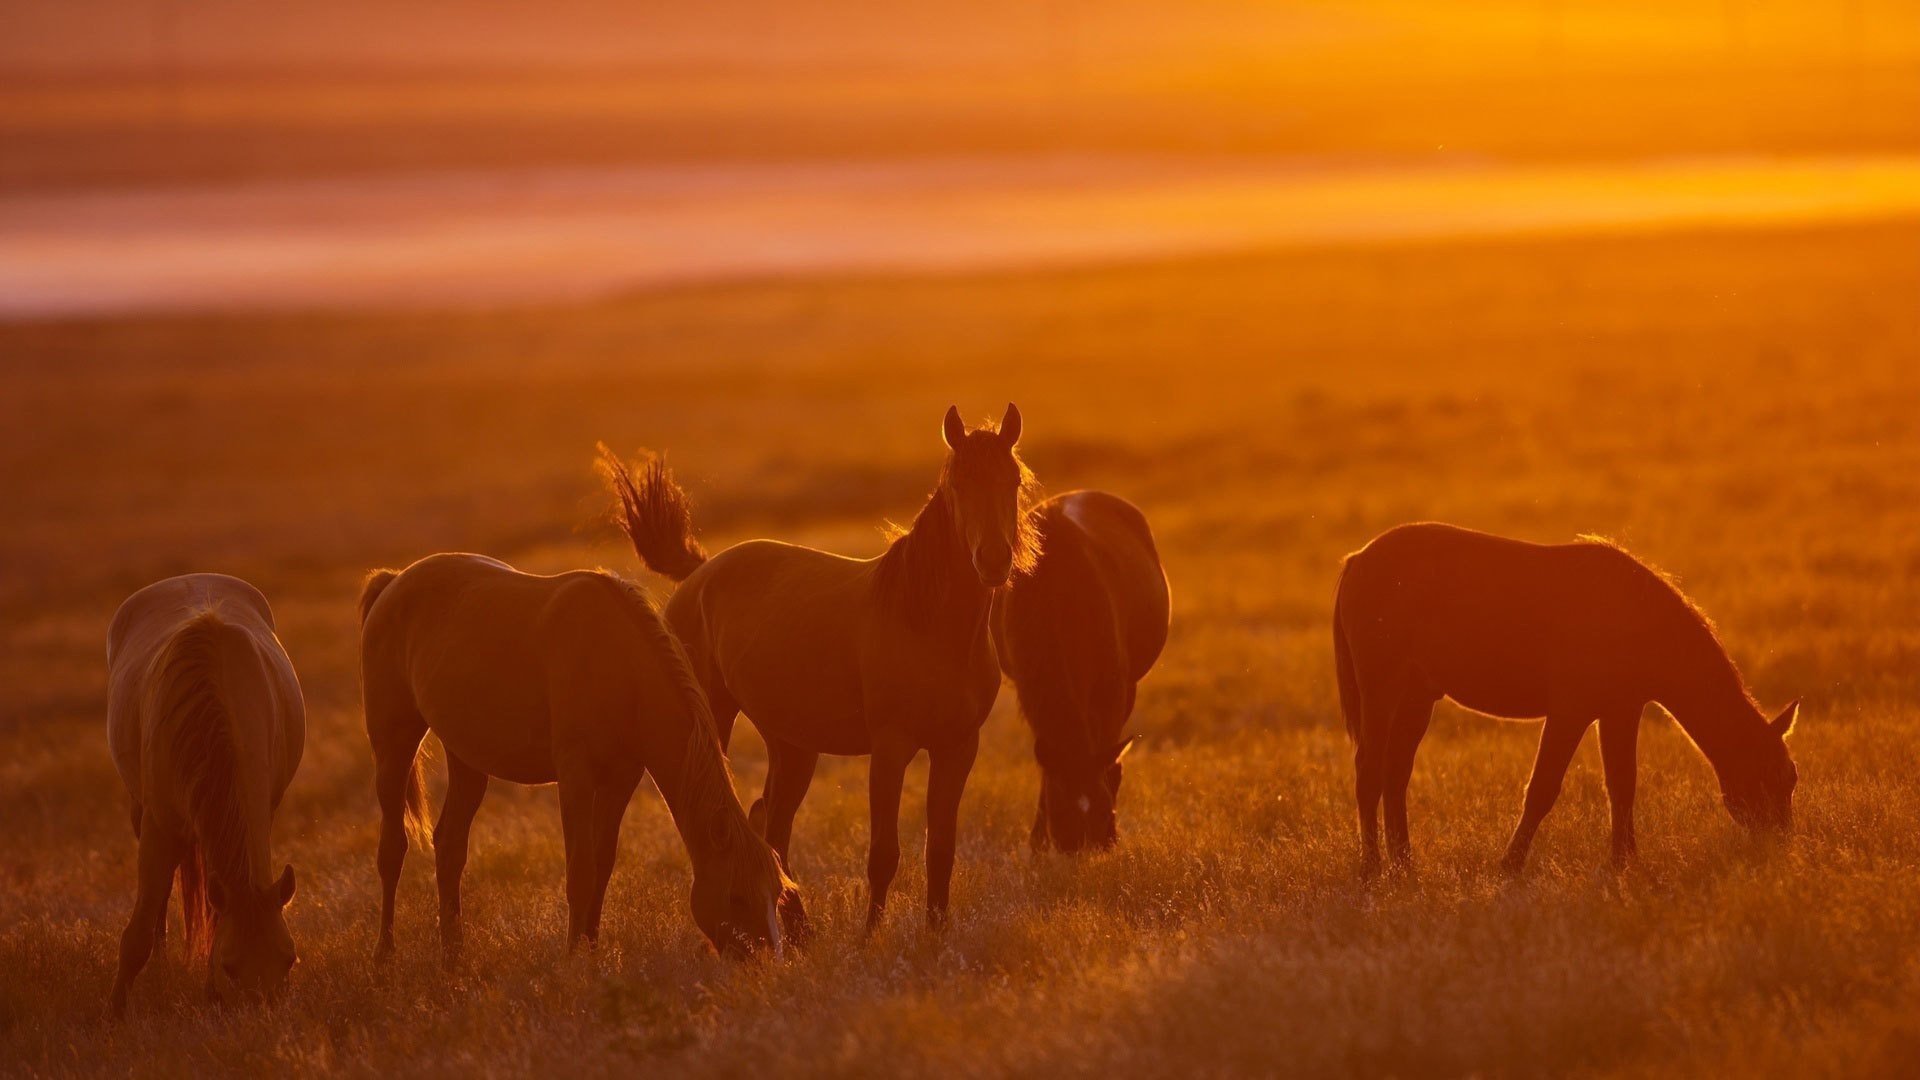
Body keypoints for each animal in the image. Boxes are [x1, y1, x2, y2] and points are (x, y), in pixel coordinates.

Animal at [105, 574, 304, 1017]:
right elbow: (138, 931)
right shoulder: (159, 825)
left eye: (288, 958)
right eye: (231, 966)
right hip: (140, 813)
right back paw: (160, 965)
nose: (262, 1014)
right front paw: (116, 1014)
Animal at [357, 553, 803, 964]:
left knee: (450, 846)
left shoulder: (621, 778)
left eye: (776, 893)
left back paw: (453, 954)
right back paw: (384, 953)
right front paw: (574, 957)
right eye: (737, 895)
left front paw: (591, 947)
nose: (767, 961)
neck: (620, 667)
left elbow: (602, 865)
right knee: (393, 849)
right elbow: (580, 870)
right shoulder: (576, 776)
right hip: (393, 746)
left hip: (467, 758)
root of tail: (393, 582)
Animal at [600, 403, 1038, 930]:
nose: (993, 560)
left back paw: (799, 928)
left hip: (792, 745)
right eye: (958, 482)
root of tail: (699, 573)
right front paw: (869, 938)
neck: (929, 626)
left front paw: (936, 934)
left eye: (1013, 480)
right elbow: (884, 853)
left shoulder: (958, 747)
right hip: (718, 721)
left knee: (771, 821)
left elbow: (941, 851)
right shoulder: (890, 747)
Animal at [992, 490, 1170, 853]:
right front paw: (1037, 841)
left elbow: (1109, 752)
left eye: (1104, 809)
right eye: (1059, 810)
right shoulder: (1028, 688)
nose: (1082, 845)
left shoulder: (1114, 686)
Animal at [1333, 522, 1800, 877]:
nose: (1782, 846)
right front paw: (1510, 866)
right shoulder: (1570, 711)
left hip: (1417, 697)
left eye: (1790, 778)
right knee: (1369, 771)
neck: (1638, 619)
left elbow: (1623, 785)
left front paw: (1624, 864)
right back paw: (1372, 869)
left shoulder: (1620, 711)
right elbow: (1543, 788)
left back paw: (1405, 867)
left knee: (1395, 775)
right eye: (1775, 776)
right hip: (1381, 689)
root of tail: (1358, 559)